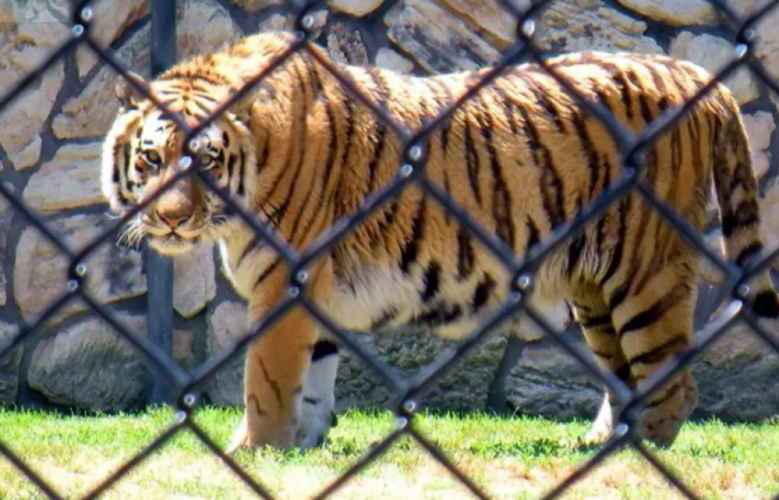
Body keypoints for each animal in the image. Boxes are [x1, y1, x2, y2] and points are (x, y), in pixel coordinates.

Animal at [100, 31, 779, 454]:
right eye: (152, 158)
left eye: (208, 162)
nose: (170, 220)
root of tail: (693, 71)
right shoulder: (314, 293)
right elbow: (311, 379)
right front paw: (301, 449)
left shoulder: (284, 283)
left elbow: (266, 378)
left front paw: (253, 451)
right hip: (595, 289)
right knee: (629, 378)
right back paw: (597, 445)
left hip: (644, 271)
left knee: (675, 383)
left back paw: (635, 458)